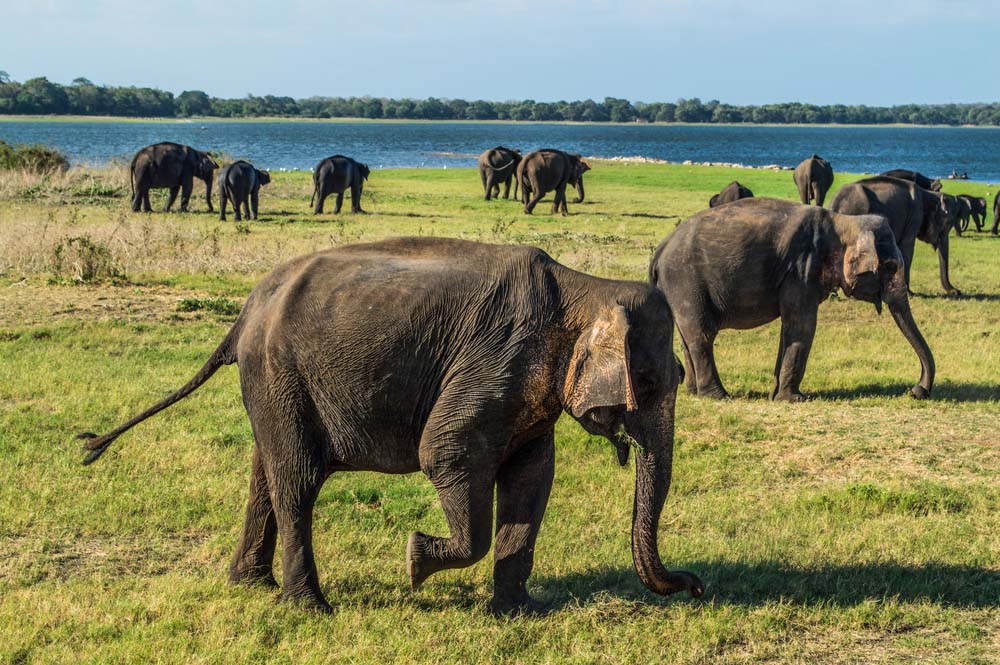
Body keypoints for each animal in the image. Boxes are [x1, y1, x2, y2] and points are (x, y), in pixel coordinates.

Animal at [76, 236, 704, 616]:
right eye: (649, 382)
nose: (696, 585)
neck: (585, 286)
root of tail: (246, 312)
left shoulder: (529, 395)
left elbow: (531, 479)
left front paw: (516, 612)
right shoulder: (496, 362)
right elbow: (445, 452)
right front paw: (414, 561)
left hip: (272, 388)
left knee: (265, 477)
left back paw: (250, 586)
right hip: (281, 375)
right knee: (298, 482)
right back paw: (310, 608)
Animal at [652, 197, 932, 402]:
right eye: (891, 265)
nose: (917, 391)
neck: (843, 222)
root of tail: (661, 249)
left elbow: (790, 328)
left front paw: (776, 396)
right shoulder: (801, 270)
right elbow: (802, 326)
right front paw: (794, 399)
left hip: (679, 289)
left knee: (687, 336)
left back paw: (693, 392)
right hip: (685, 282)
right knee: (702, 335)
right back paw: (718, 397)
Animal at [828, 175, 960, 294]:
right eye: (948, 224)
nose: (956, 292)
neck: (928, 193)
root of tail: (834, 203)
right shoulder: (915, 216)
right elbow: (907, 248)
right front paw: (909, 293)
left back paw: (834, 294)